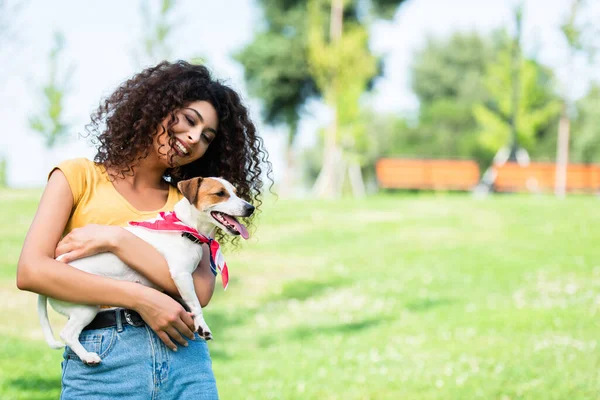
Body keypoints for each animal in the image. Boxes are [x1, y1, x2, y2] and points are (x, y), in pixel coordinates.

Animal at [37, 177, 253, 364]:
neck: (185, 227)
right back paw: (87, 356)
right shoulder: (181, 274)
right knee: (67, 334)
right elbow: (196, 305)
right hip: (85, 307)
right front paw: (202, 326)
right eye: (220, 193)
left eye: (236, 192)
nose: (250, 208)